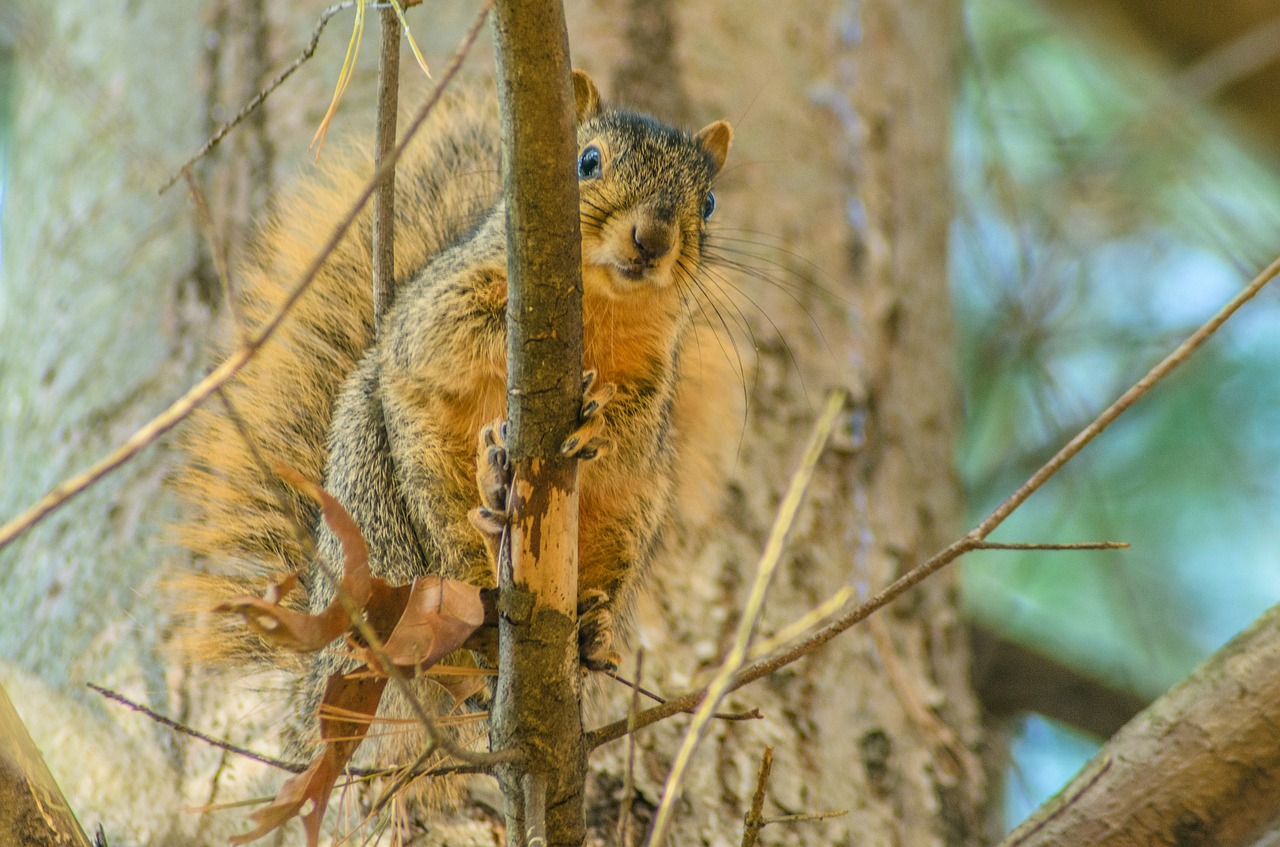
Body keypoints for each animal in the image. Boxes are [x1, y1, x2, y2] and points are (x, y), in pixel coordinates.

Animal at [176, 69, 747, 788]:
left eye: (709, 203)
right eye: (586, 161)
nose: (653, 238)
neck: (597, 311)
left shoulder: (655, 382)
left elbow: (634, 430)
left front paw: (596, 426)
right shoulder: (435, 309)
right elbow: (450, 334)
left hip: (631, 520)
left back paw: (590, 625)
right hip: (387, 510)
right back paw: (491, 522)